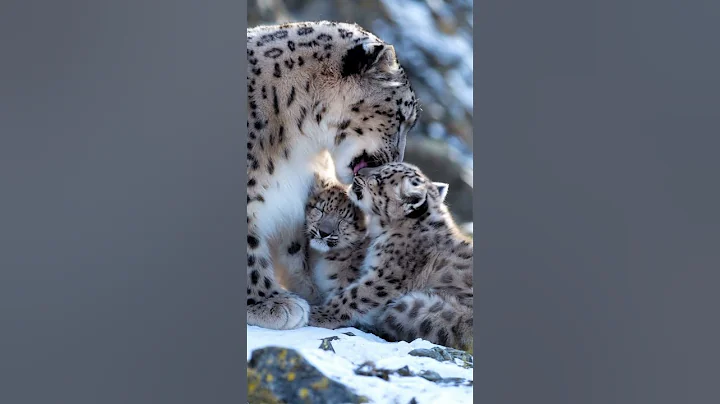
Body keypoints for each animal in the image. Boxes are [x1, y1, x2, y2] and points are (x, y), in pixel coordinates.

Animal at [246, 21, 419, 330]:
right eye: (400, 117)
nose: (396, 161)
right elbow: (249, 248)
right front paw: (269, 303)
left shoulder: (290, 199)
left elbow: (295, 249)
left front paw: (311, 292)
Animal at [308, 162, 473, 351]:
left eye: (379, 178)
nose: (358, 172)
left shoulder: (387, 276)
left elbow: (354, 296)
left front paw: (318, 314)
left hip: (414, 309)